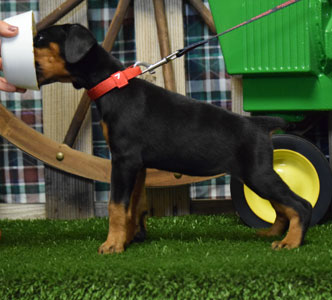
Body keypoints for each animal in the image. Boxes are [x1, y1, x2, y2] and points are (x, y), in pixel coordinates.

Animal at [33, 24, 312, 253]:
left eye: (41, 37)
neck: (112, 85)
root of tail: (260, 123)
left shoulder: (123, 160)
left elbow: (116, 205)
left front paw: (112, 245)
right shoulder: (138, 166)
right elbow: (133, 205)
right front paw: (129, 239)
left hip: (257, 173)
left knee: (300, 205)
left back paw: (291, 241)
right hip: (255, 175)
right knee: (282, 206)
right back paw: (272, 233)